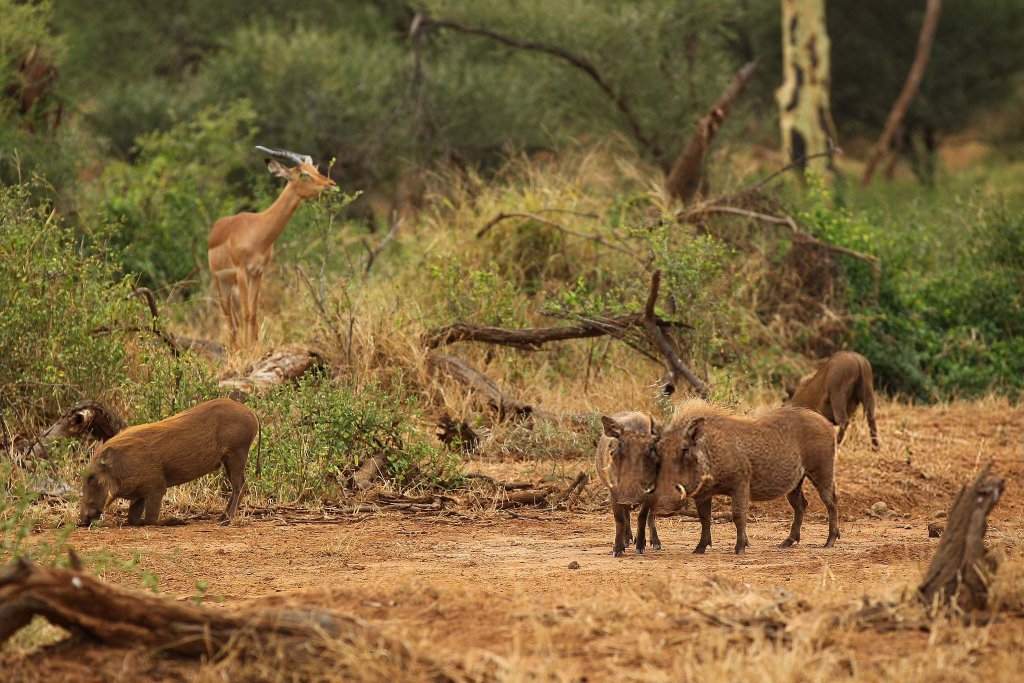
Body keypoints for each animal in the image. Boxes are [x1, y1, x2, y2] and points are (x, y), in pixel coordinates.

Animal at [207, 146, 335, 344]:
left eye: (316, 169)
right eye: (304, 174)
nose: (331, 184)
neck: (257, 230)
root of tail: (215, 230)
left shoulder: (258, 272)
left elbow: (253, 313)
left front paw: (255, 346)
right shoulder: (242, 271)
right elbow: (246, 313)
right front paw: (247, 349)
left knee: (234, 319)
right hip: (221, 282)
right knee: (229, 318)